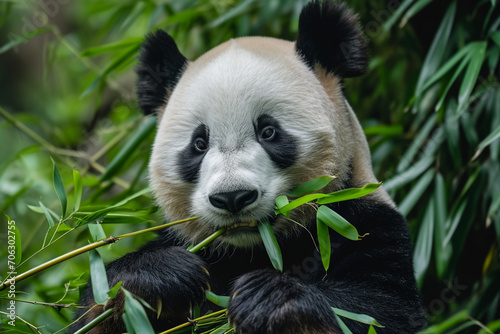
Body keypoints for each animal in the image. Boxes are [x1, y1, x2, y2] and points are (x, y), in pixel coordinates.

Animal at [72, 0, 428, 334]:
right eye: (199, 144)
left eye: (268, 132)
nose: (233, 197)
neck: (255, 249)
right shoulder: (186, 244)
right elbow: (97, 306)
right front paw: (158, 277)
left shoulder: (361, 223)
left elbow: (377, 312)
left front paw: (266, 299)